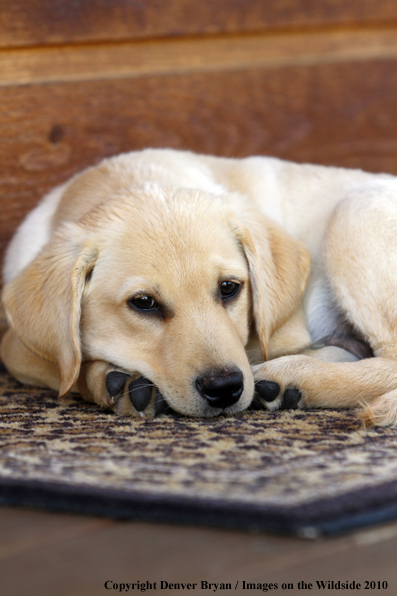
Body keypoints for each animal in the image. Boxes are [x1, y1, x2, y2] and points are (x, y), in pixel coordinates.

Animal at [0, 151, 396, 426]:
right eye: (144, 303)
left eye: (229, 288)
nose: (224, 388)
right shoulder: (18, 339)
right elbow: (42, 358)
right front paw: (112, 380)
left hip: (354, 213)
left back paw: (293, 377)